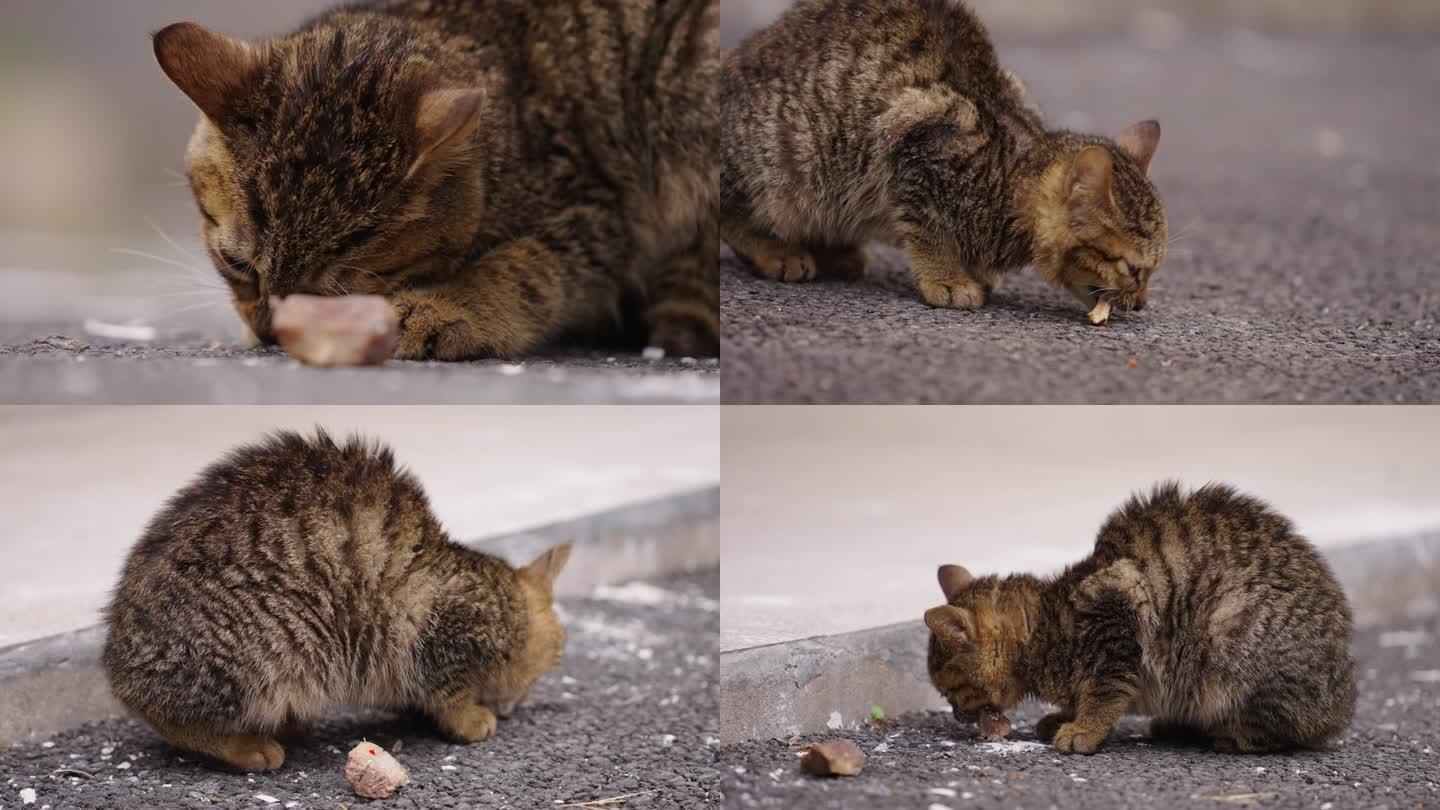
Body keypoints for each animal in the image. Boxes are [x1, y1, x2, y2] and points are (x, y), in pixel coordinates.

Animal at [104, 426, 573, 766]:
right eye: (543, 670)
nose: (520, 703)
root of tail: (117, 663)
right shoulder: (441, 638)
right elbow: (449, 691)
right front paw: (472, 718)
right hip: (272, 648)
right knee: (169, 716)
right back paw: (246, 746)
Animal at [157, 0, 720, 355]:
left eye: (333, 294)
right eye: (236, 264)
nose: (272, 333)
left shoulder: (595, 212)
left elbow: (523, 266)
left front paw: (445, 309)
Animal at [720, 0, 1169, 318]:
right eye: (1133, 269)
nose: (1142, 302)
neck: (1007, 174)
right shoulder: (917, 146)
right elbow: (929, 229)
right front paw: (947, 278)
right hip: (786, 160)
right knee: (728, 212)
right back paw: (776, 250)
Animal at [927, 478, 1353, 749]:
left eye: (949, 690)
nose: (956, 715)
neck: (1046, 623)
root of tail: (1340, 708)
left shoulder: (1117, 617)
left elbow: (1103, 690)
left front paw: (1083, 728)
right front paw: (1063, 716)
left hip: (1230, 637)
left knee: (1277, 732)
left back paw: (1223, 734)